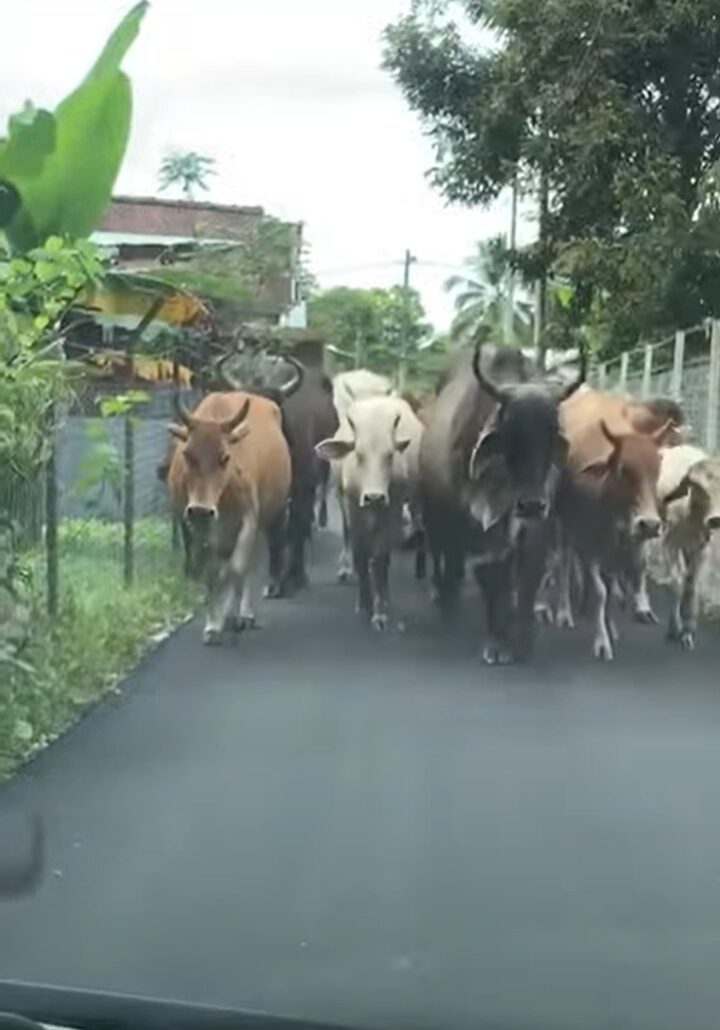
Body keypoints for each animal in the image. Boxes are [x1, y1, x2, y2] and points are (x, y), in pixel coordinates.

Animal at [167, 391, 292, 642]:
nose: (201, 509)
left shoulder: (249, 521)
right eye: (187, 454)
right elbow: (211, 574)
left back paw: (245, 613)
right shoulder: (198, 528)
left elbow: (237, 569)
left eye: (224, 457)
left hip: (265, 521)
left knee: (249, 565)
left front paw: (233, 616)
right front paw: (213, 623)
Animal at [655, 444, 720, 650]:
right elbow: (676, 583)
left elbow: (692, 586)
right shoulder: (669, 544)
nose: (715, 520)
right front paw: (675, 627)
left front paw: (688, 629)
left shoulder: (702, 549)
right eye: (699, 489)